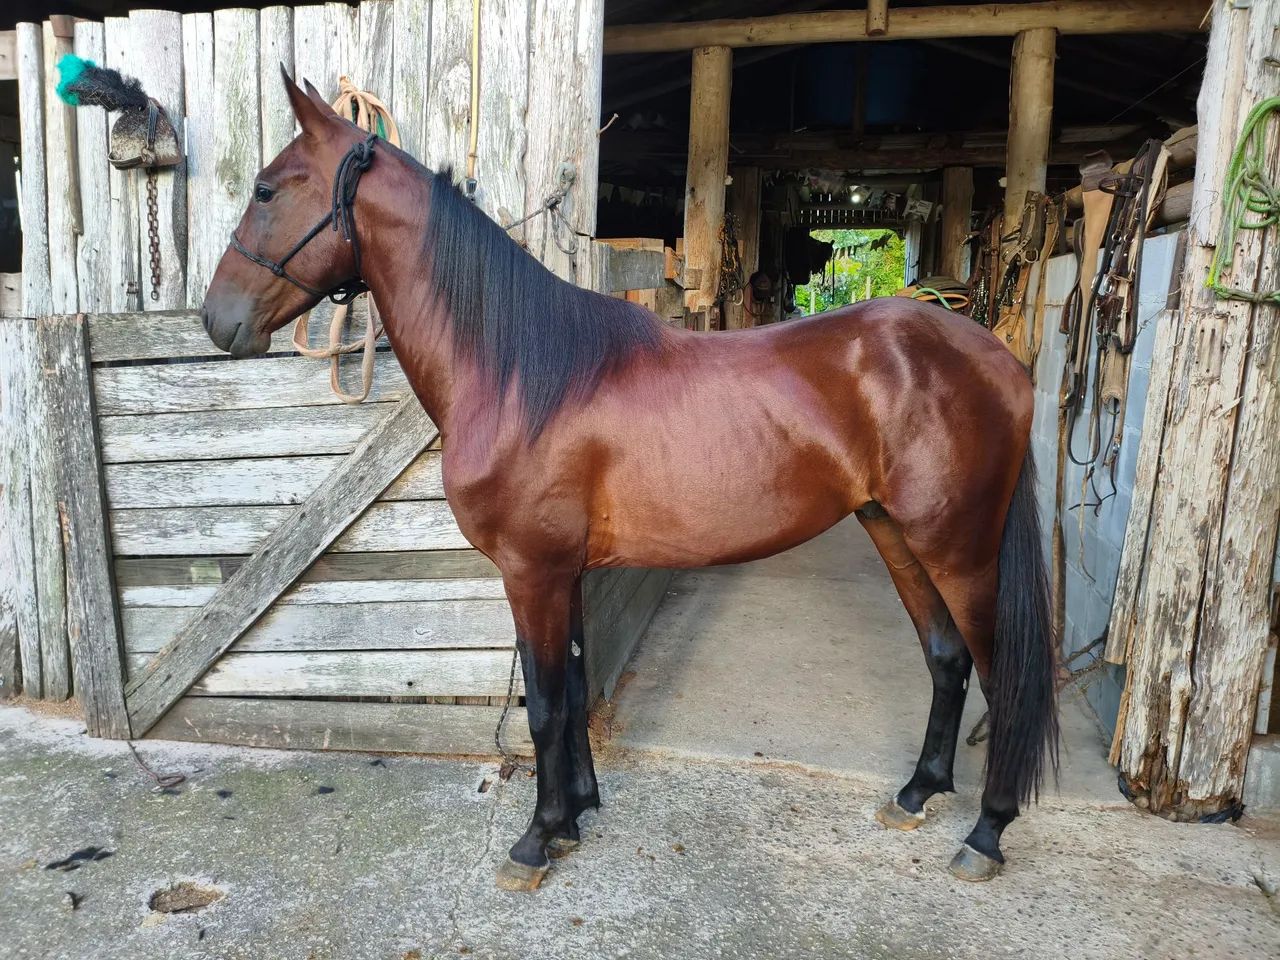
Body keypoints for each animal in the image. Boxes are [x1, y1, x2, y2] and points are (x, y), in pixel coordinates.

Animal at [201, 71, 1059, 892]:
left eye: (268, 190)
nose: (217, 320)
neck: (520, 373)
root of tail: (997, 358)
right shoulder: (565, 572)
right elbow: (576, 689)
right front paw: (576, 813)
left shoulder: (532, 571)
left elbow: (546, 707)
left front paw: (536, 839)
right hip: (894, 531)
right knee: (946, 657)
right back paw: (917, 793)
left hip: (959, 550)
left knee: (1002, 675)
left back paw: (986, 834)